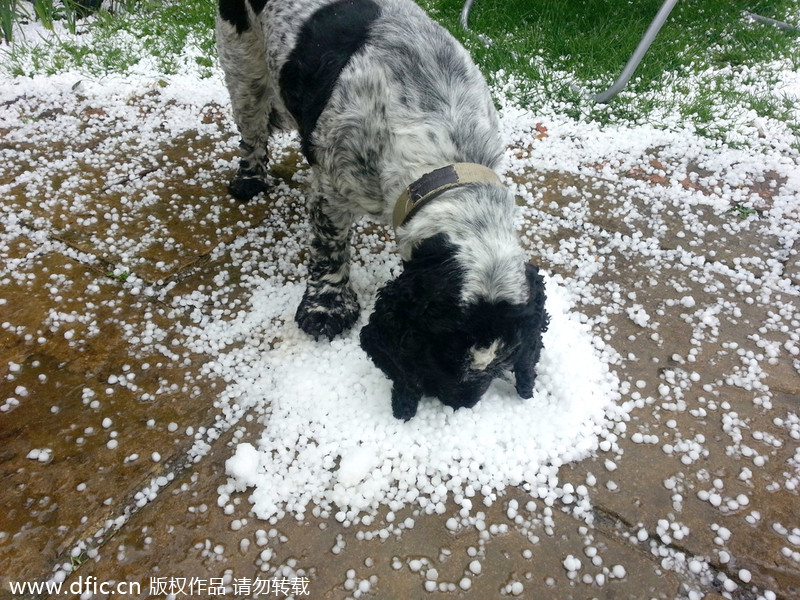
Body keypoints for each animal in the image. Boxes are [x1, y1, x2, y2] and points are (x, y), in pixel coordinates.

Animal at [216, 0, 548, 422]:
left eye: (506, 355)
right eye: (439, 348)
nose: (460, 401)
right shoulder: (332, 191)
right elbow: (329, 252)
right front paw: (326, 309)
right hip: (243, 60)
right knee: (252, 126)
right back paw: (249, 178)